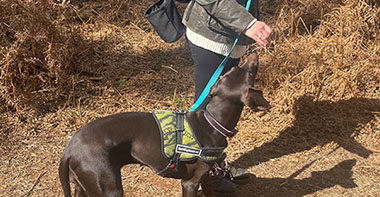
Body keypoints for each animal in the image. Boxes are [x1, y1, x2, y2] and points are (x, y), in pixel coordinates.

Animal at [58, 53, 270, 197]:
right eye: (249, 73)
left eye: (232, 71)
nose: (253, 54)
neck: (212, 122)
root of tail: (69, 150)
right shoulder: (189, 183)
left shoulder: (205, 177)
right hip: (108, 188)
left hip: (82, 186)